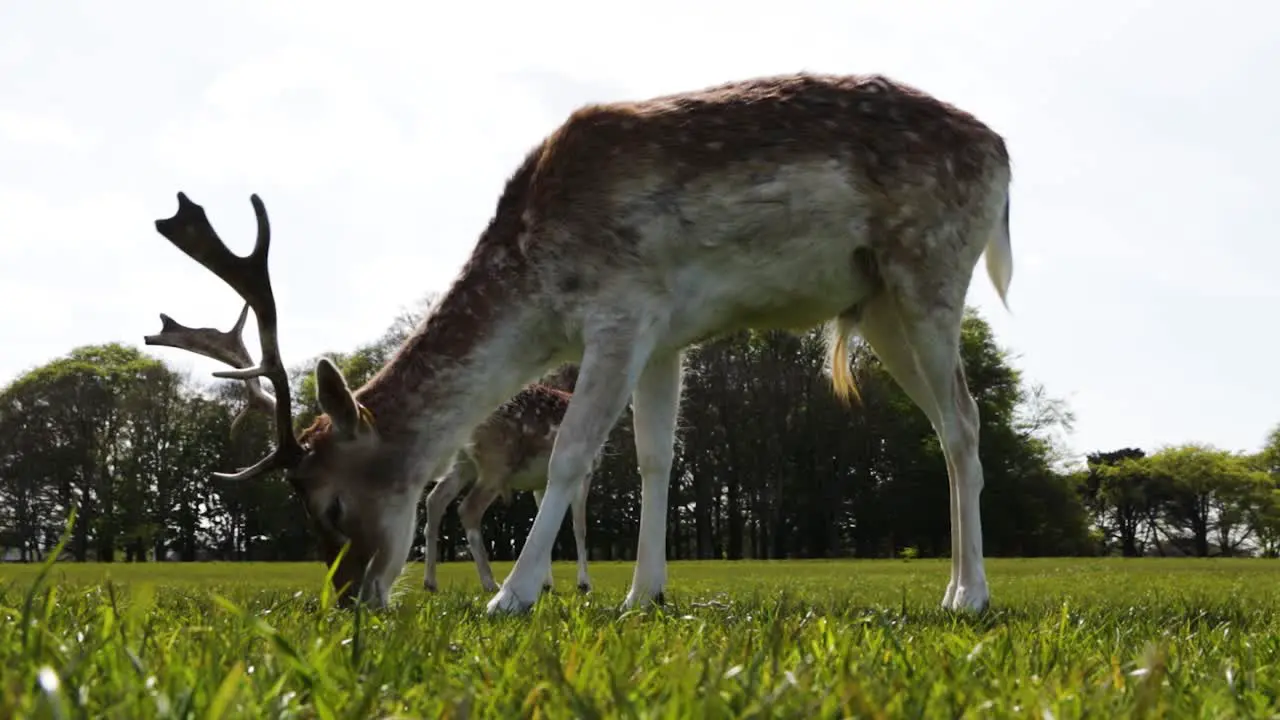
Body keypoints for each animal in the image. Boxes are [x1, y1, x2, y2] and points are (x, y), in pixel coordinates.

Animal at [144, 304, 593, 591]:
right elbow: (577, 523)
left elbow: (547, 516)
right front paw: (581, 584)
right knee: (464, 508)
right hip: (490, 463)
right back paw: (487, 583)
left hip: (464, 463)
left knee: (435, 501)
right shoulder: (585, 468)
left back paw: (434, 582)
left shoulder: (539, 479)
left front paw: (548, 581)